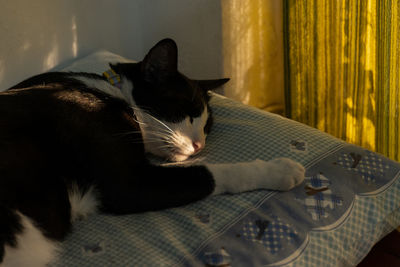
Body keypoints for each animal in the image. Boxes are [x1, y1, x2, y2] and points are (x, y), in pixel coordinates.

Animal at [0, 38, 304, 266]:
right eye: (186, 111)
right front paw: (279, 169)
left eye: (207, 126)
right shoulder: (129, 184)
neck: (112, 91)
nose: (200, 145)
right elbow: (208, 173)